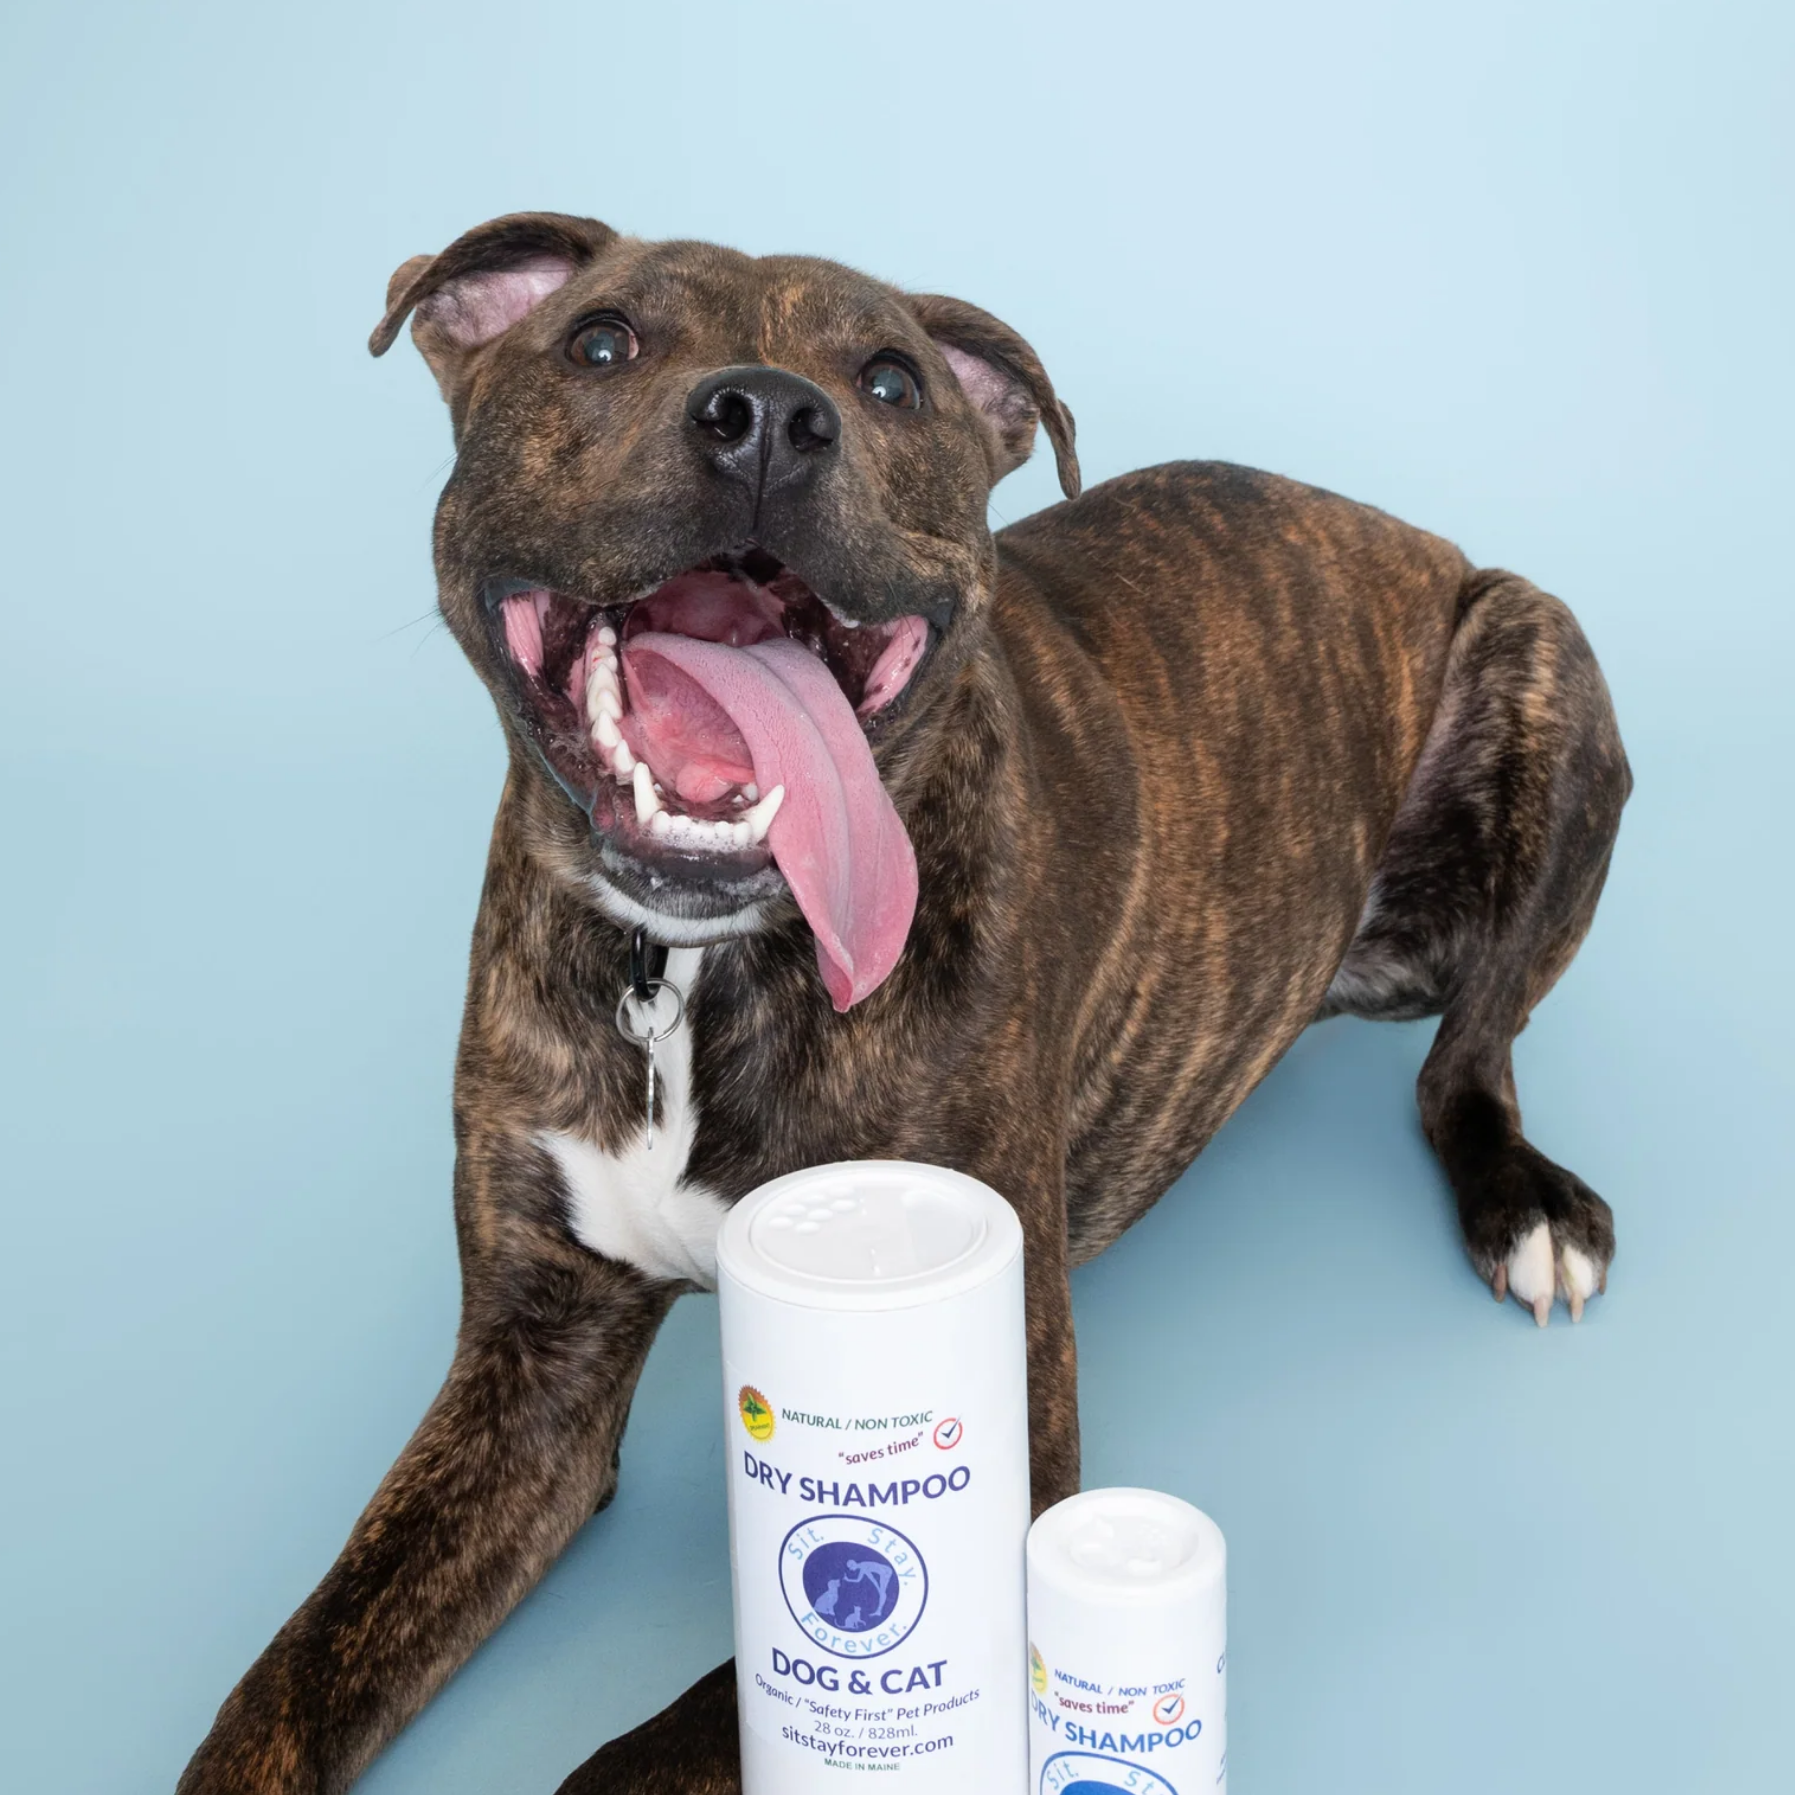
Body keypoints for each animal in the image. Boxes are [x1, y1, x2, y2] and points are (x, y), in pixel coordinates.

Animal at [175, 213, 1637, 1795]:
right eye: (600, 341)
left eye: (887, 380)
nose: (767, 414)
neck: (691, 969)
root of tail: (1402, 532)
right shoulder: (533, 1367)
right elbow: (294, 1675)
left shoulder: (1016, 1423)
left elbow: (665, 1745)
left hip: (1539, 661)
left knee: (1466, 1053)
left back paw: (1523, 1201)